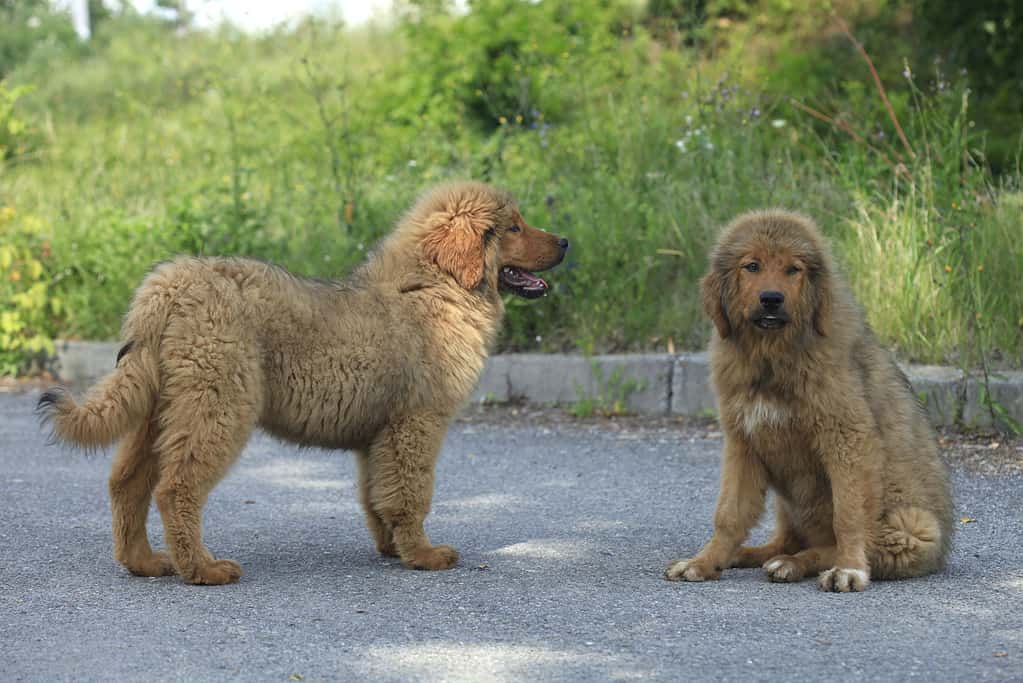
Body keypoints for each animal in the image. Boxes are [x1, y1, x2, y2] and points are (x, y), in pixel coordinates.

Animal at [37, 183, 568, 588]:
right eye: (514, 227)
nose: (565, 241)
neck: (435, 285)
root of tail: (168, 287)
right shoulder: (416, 422)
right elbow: (410, 493)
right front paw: (424, 554)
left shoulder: (378, 434)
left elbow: (376, 495)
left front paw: (392, 548)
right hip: (218, 403)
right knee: (176, 487)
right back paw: (203, 569)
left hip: (159, 405)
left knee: (126, 481)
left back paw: (143, 562)